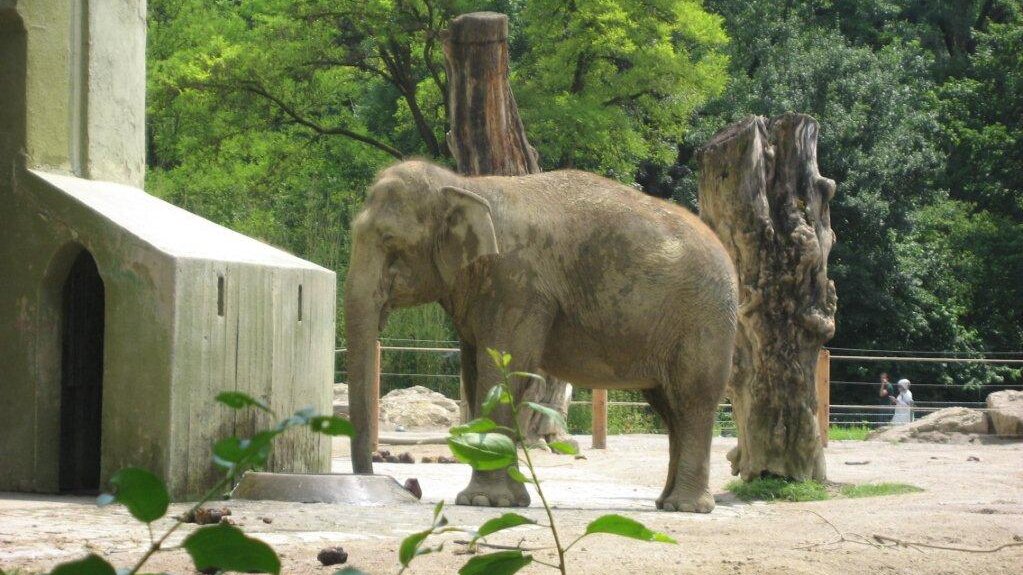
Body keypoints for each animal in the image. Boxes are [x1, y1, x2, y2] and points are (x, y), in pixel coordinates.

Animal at [343, 157, 736, 509]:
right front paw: (508, 501)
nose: (396, 481)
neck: (466, 185)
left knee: (692, 401)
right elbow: (478, 375)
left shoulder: (517, 283)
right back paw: (665, 503)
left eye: (390, 241)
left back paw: (686, 507)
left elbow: (504, 370)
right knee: (669, 408)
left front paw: (483, 501)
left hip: (704, 321)